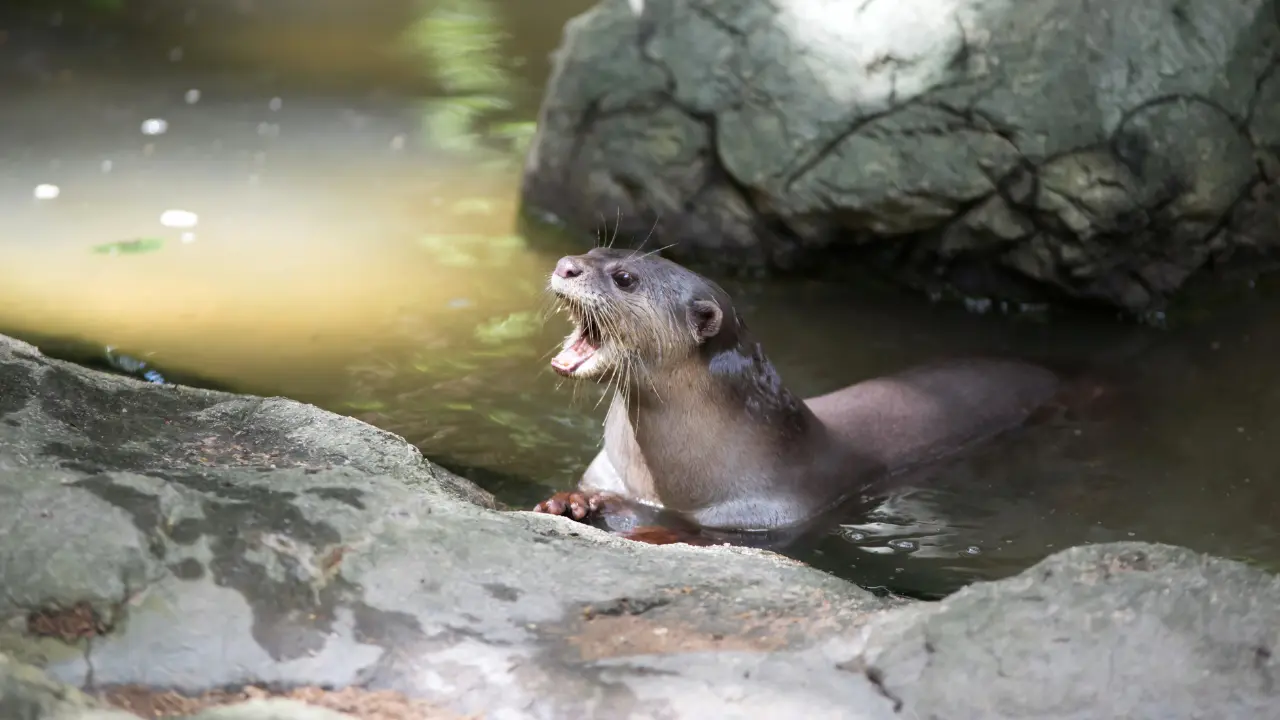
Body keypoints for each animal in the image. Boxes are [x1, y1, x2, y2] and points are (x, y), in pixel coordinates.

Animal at [532, 247, 1059, 535]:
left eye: (624, 278)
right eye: (595, 250)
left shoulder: (765, 514)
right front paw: (568, 502)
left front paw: (614, 510)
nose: (566, 264)